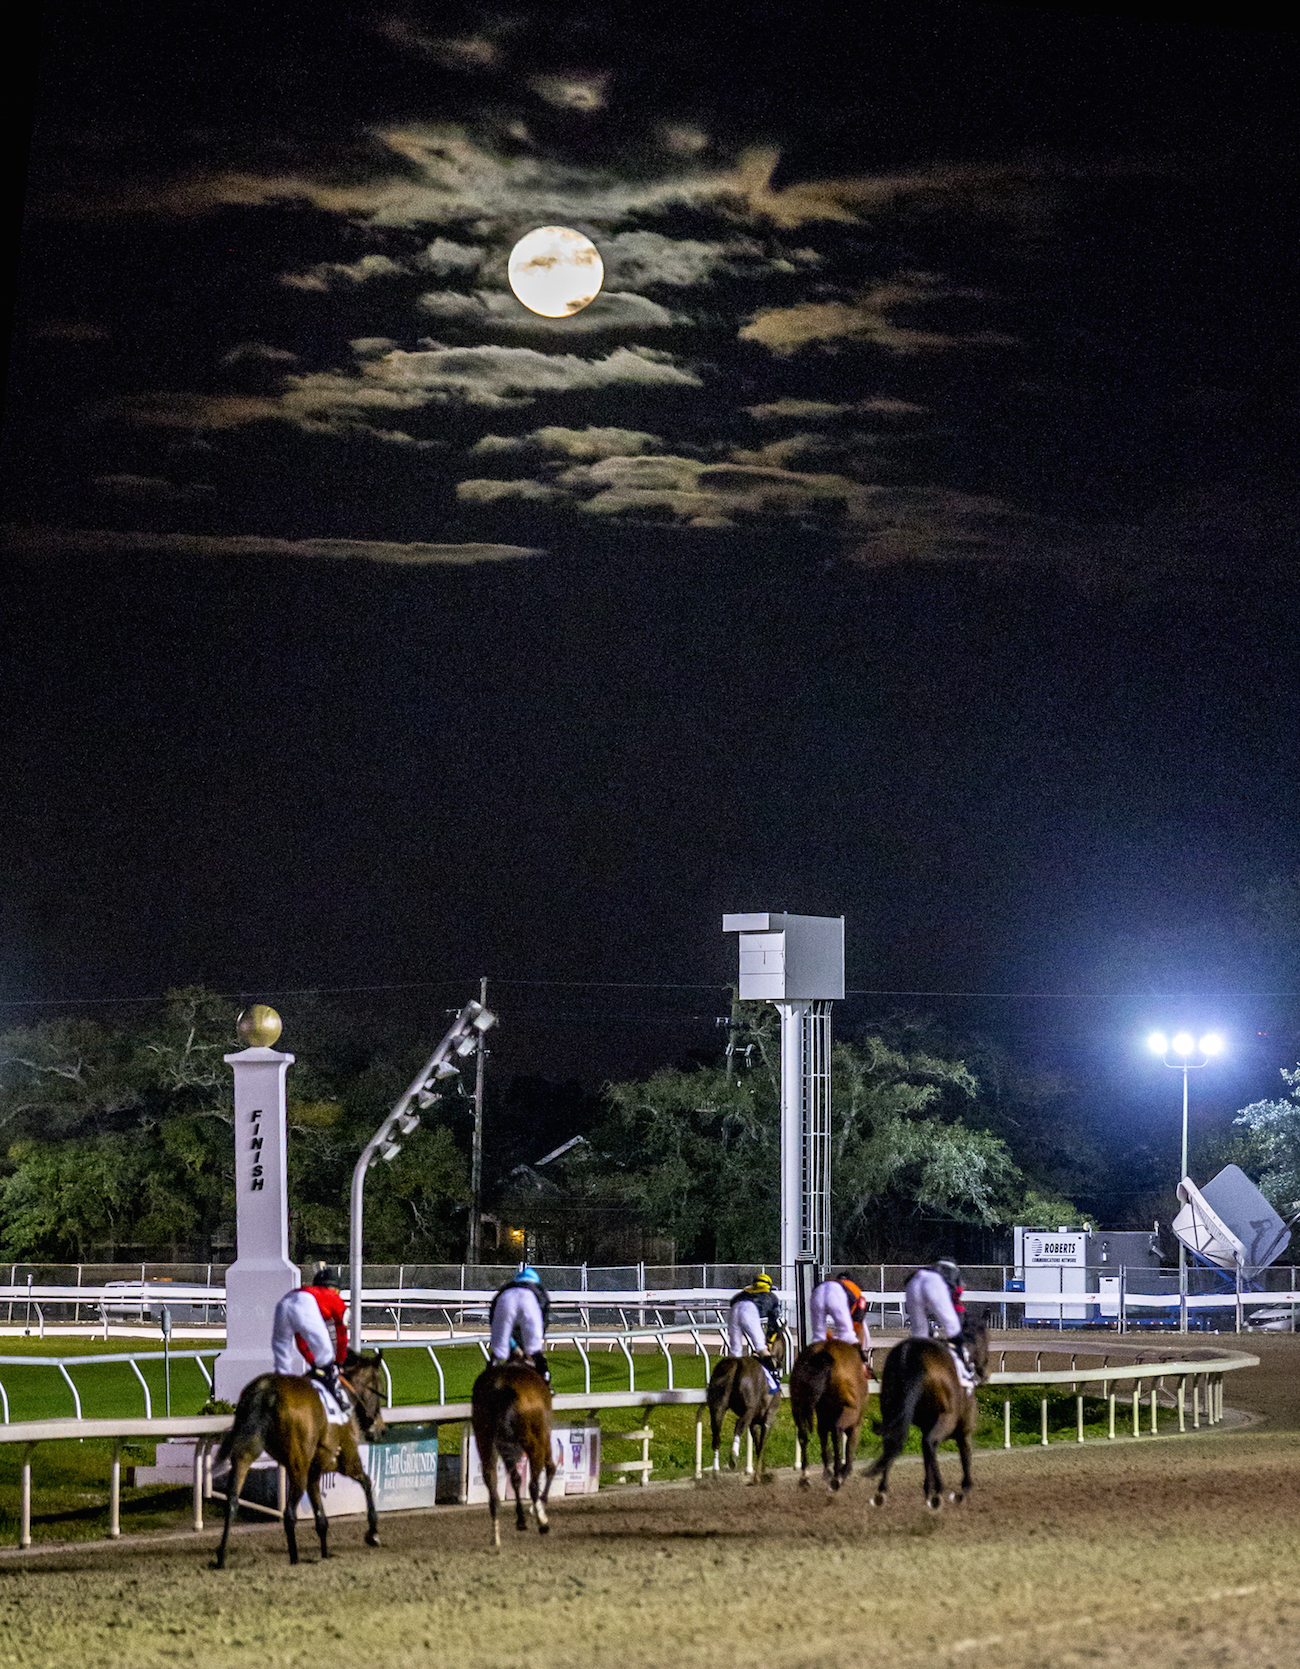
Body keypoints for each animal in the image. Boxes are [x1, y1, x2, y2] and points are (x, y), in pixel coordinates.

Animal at [211, 1348, 387, 1568]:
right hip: (298, 1467)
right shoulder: (346, 1460)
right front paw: (373, 1534)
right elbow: (367, 1482)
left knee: (232, 1501)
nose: (380, 1430)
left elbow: (322, 1520)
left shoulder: (315, 1471)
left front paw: (325, 1554)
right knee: (289, 1514)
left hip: (246, 1453)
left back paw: (221, 1557)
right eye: (379, 1388)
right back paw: (294, 1559)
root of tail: (267, 1390)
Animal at [473, 1355, 560, 1548]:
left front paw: (521, 1518)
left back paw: (496, 1536)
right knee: (533, 1484)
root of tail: (500, 1386)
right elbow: (551, 1468)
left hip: (484, 1439)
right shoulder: (543, 1436)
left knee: (492, 1485)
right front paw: (538, 1508)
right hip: (533, 1441)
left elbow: (515, 1479)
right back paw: (542, 1523)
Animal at [707, 1321, 787, 1482]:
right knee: (738, 1424)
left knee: (716, 1434)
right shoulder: (768, 1418)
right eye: (784, 1341)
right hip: (748, 1409)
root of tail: (734, 1364)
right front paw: (758, 1476)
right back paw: (733, 1457)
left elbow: (757, 1445)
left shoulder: (754, 1422)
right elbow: (761, 1445)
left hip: (717, 1407)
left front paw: (762, 1472)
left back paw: (715, 1471)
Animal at [787, 1335, 867, 1495]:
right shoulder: (854, 1421)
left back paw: (806, 1477)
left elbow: (823, 1439)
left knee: (803, 1435)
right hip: (848, 1413)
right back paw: (837, 1476)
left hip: (797, 1406)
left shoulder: (823, 1417)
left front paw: (827, 1470)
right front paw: (841, 1471)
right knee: (837, 1434)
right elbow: (848, 1447)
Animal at [867, 1315, 994, 1515]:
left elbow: (926, 1454)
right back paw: (939, 1492)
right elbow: (965, 1454)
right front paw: (960, 1492)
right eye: (988, 1339)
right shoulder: (964, 1428)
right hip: (946, 1419)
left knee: (893, 1441)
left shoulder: (926, 1424)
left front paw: (928, 1488)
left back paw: (882, 1491)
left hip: (890, 1411)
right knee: (930, 1442)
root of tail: (908, 1356)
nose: (984, 1373)